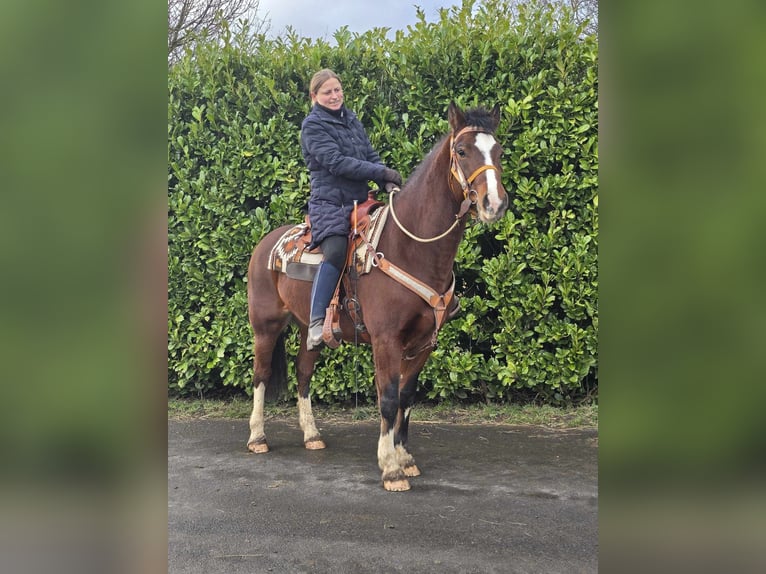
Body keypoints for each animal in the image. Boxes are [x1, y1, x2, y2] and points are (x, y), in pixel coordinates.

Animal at [248, 102, 510, 490]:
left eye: (499, 151)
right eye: (462, 151)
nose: (495, 203)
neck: (410, 247)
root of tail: (266, 243)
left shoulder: (423, 343)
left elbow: (406, 396)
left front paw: (405, 457)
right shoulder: (386, 340)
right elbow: (387, 398)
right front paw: (390, 468)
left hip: (307, 330)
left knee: (303, 373)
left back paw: (312, 435)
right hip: (265, 326)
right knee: (261, 375)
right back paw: (257, 438)